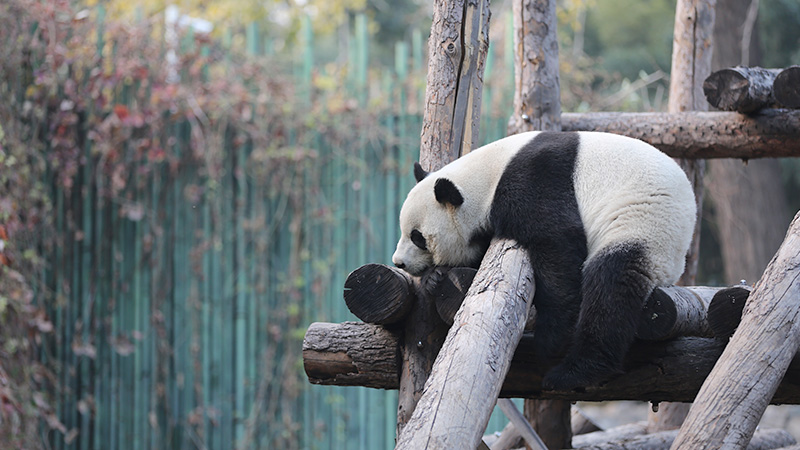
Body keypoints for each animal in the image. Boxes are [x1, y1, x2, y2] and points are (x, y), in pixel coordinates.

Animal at [392, 131, 696, 391]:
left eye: (417, 237)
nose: (399, 263)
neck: (488, 177)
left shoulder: (536, 182)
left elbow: (557, 243)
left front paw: (551, 340)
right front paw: (434, 278)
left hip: (644, 225)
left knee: (611, 286)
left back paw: (574, 372)